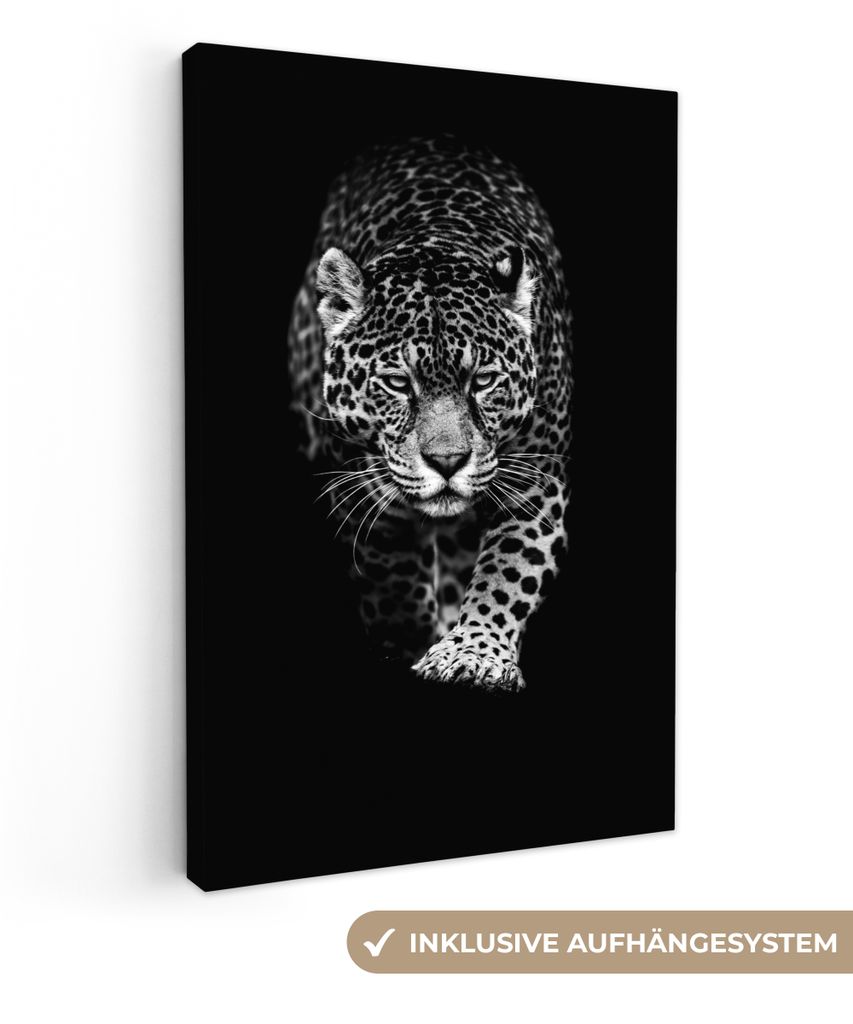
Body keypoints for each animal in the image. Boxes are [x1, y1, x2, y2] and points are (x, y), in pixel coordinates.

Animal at [287, 135, 572, 692]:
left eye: (482, 381)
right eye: (399, 383)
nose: (447, 462)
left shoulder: (535, 483)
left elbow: (509, 570)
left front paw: (474, 653)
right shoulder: (366, 493)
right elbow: (392, 578)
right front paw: (408, 646)